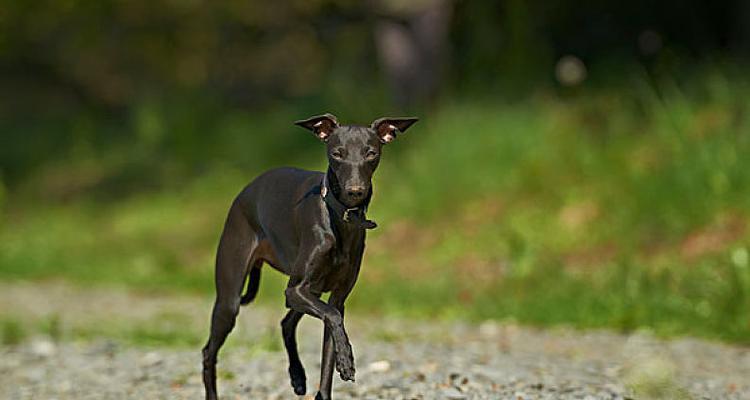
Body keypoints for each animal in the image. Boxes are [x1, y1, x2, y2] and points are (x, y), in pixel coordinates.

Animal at [203, 113, 420, 400]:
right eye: (337, 154)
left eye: (371, 153)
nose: (355, 191)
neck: (339, 218)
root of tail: (245, 191)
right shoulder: (296, 290)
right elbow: (334, 319)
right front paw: (347, 360)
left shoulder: (335, 297)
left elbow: (330, 343)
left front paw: (339, 365)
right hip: (231, 299)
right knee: (209, 352)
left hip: (311, 291)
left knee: (286, 323)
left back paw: (297, 376)